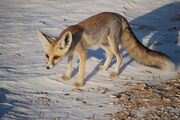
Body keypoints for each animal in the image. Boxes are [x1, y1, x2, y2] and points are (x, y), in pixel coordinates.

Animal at [36, 11, 174, 87]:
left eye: (56, 57)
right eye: (47, 56)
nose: (47, 67)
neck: (73, 40)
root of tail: (119, 15)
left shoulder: (83, 53)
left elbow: (81, 71)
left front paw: (79, 83)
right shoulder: (71, 54)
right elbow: (69, 66)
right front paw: (68, 76)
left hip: (112, 42)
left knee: (119, 56)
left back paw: (115, 72)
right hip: (102, 43)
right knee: (110, 54)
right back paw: (105, 68)